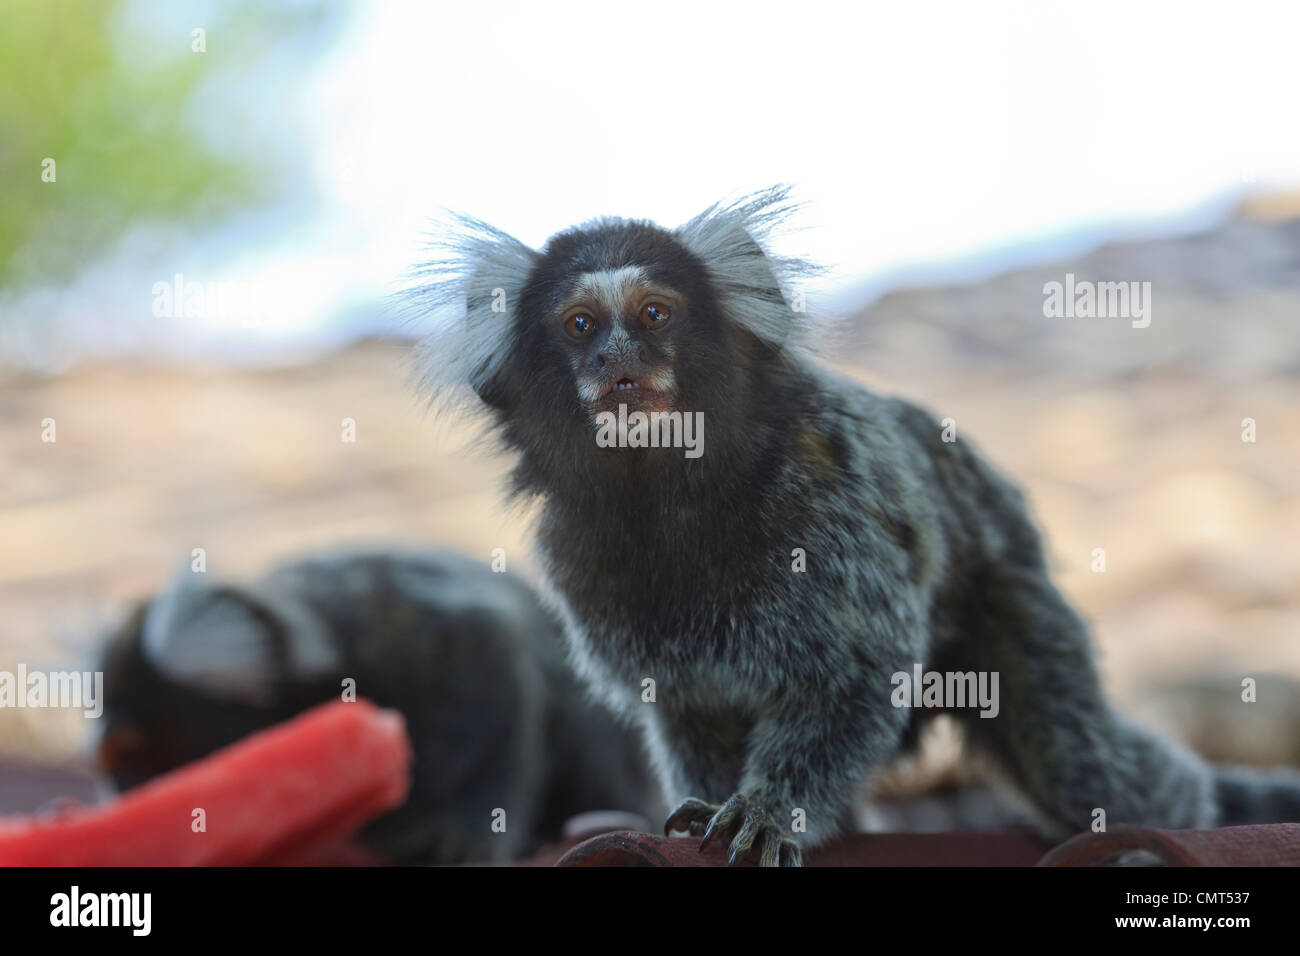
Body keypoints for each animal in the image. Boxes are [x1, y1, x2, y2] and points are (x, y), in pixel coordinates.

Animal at [98, 548, 660, 863]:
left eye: (146, 759)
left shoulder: (400, 633)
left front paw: (465, 833)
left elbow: (489, 646)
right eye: (124, 774)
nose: (124, 789)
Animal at [413, 187, 1300, 868]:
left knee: (1082, 764)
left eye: (654, 313)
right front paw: (713, 801)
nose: (619, 363)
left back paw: (1202, 809)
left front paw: (769, 809)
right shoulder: (583, 569)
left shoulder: (834, 507)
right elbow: (691, 710)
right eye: (580, 327)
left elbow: (852, 678)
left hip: (1014, 595)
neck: (668, 497)